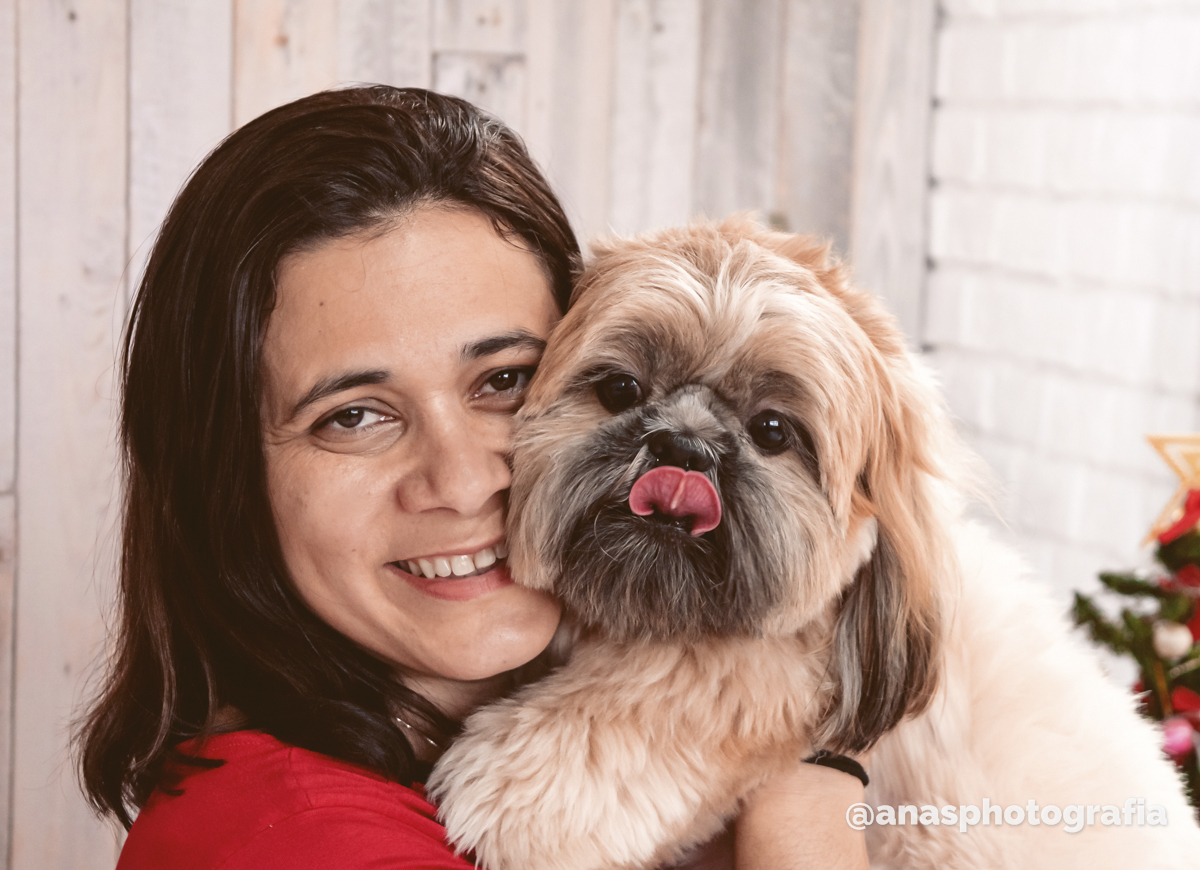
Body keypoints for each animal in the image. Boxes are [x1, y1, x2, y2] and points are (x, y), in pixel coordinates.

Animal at [426, 216, 1200, 869]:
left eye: (773, 431)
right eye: (619, 388)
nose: (686, 446)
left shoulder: (768, 671)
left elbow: (672, 683)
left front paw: (508, 790)